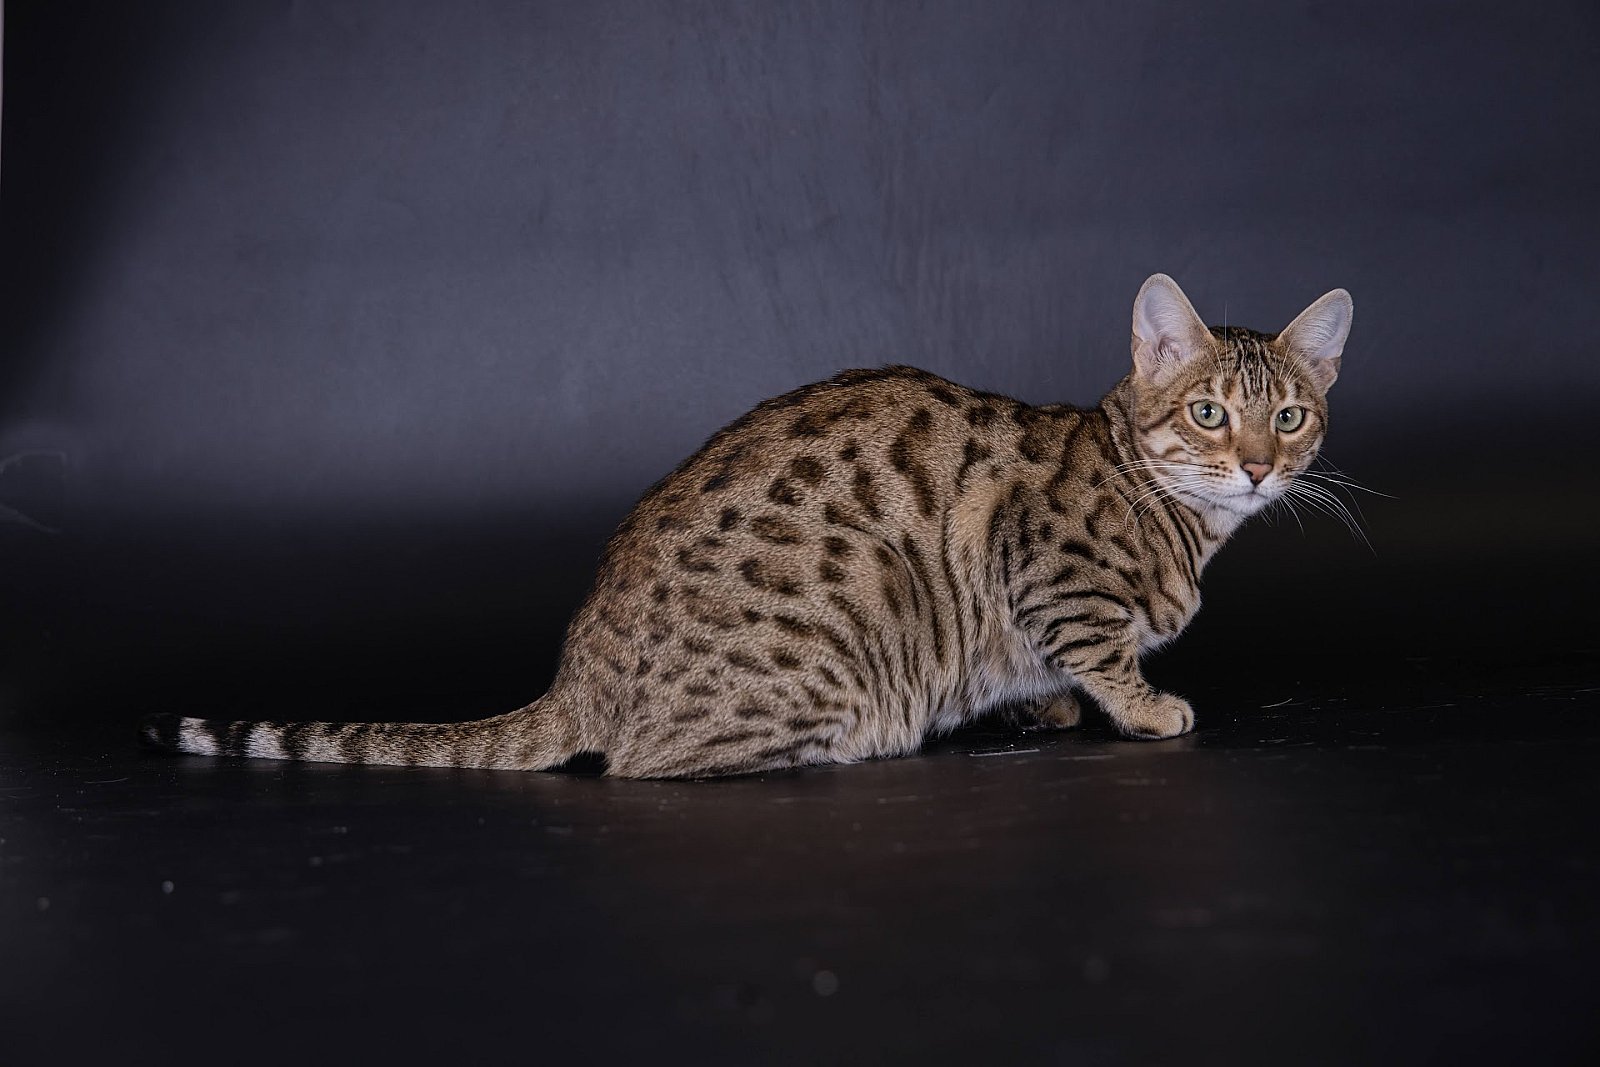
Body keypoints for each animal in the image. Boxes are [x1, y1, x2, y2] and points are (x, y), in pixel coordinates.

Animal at [141, 274, 1353, 778]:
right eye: (1207, 412)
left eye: (1289, 416)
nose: (1256, 465)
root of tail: (579, 671)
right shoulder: (1046, 572)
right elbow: (1099, 649)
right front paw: (1146, 708)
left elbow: (1059, 671)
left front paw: (1051, 707)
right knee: (641, 766)